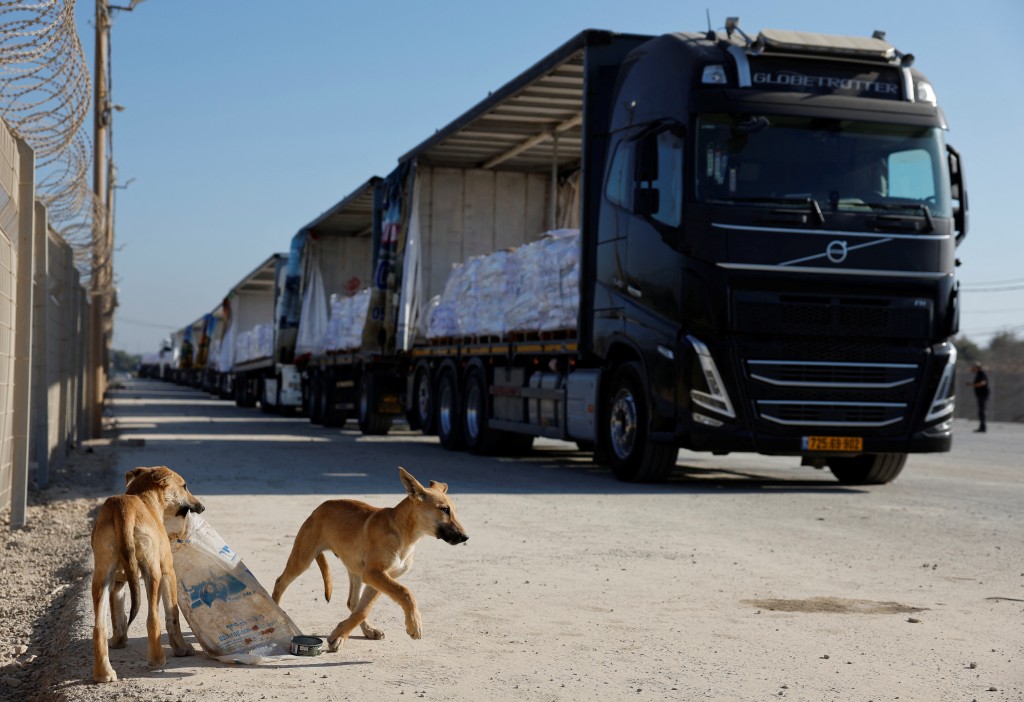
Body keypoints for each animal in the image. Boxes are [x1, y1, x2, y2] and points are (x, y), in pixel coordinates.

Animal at [90, 470, 205, 683]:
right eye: (184, 486)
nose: (201, 507)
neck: (145, 499)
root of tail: (122, 509)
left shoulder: (117, 583)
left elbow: (118, 615)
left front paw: (119, 642)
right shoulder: (168, 571)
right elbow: (173, 615)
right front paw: (182, 649)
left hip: (101, 578)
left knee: (99, 627)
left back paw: (103, 673)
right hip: (153, 573)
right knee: (153, 618)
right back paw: (157, 660)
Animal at [270, 466, 466, 654]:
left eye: (454, 511)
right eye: (445, 509)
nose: (465, 537)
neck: (403, 533)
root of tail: (318, 508)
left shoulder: (380, 577)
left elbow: (363, 610)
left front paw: (339, 635)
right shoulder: (375, 574)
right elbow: (405, 592)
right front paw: (414, 625)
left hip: (356, 571)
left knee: (353, 603)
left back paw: (367, 630)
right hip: (303, 558)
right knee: (280, 582)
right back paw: (276, 613)